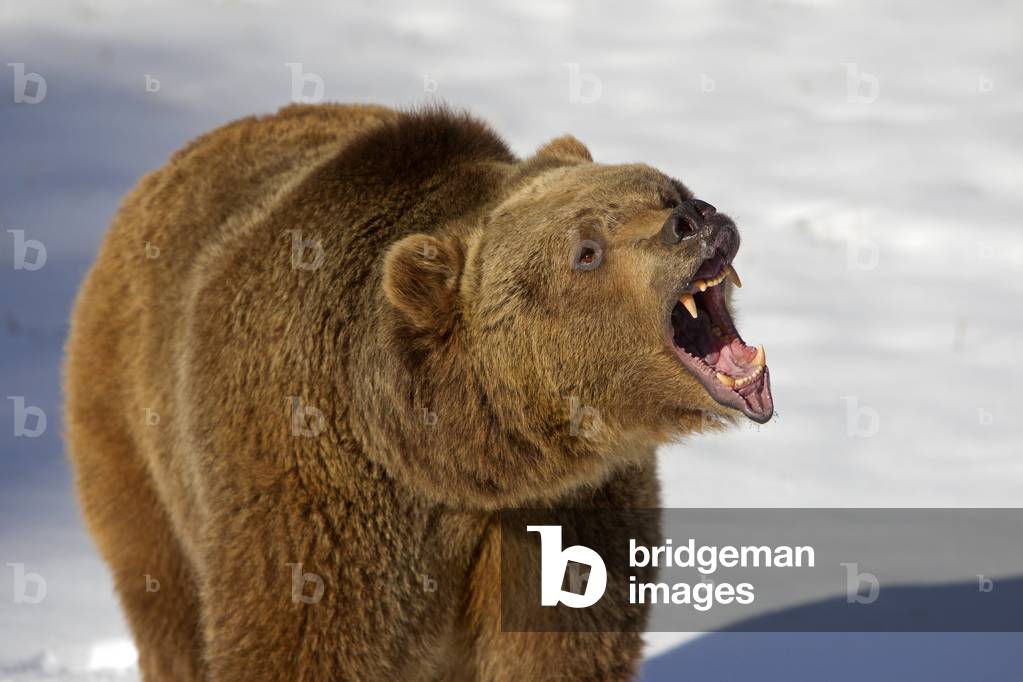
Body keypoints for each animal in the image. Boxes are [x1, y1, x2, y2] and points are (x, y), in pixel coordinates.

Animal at [64, 103, 773, 681]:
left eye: (665, 188)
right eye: (587, 250)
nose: (693, 219)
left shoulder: (569, 509)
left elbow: (559, 648)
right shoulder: (319, 489)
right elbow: (302, 640)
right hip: (133, 431)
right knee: (166, 601)